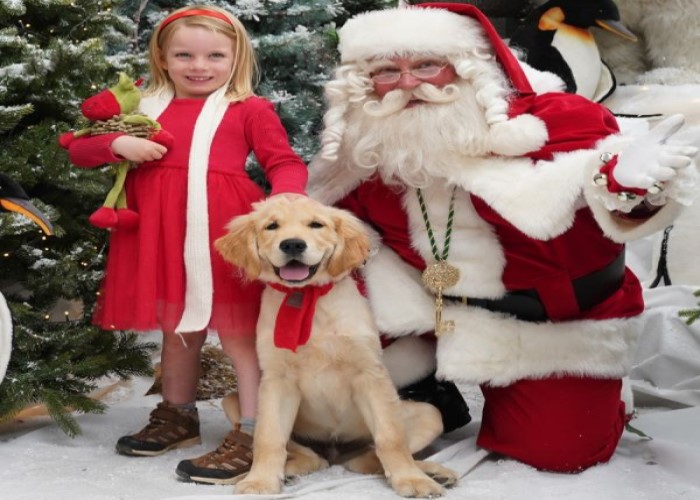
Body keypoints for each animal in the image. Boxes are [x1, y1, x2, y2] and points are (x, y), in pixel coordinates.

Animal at [216, 197, 456, 498]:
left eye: (316, 224)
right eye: (271, 226)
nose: (292, 244)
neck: (309, 302)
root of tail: (335, 452)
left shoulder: (369, 374)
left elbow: (391, 437)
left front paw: (412, 480)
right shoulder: (276, 380)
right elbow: (269, 437)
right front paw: (260, 481)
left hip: (431, 414)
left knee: (368, 457)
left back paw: (432, 471)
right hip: (233, 402)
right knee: (312, 456)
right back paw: (289, 472)